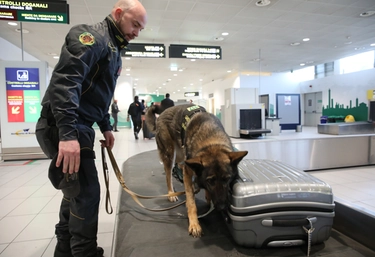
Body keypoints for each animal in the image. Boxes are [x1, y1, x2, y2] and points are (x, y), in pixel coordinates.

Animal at [147, 103, 250, 236]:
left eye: (227, 179)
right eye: (210, 181)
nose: (222, 207)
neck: (211, 142)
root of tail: (161, 115)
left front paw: (207, 196)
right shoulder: (188, 172)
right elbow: (191, 202)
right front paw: (194, 224)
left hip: (180, 154)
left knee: (178, 164)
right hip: (170, 154)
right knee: (168, 174)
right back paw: (171, 192)